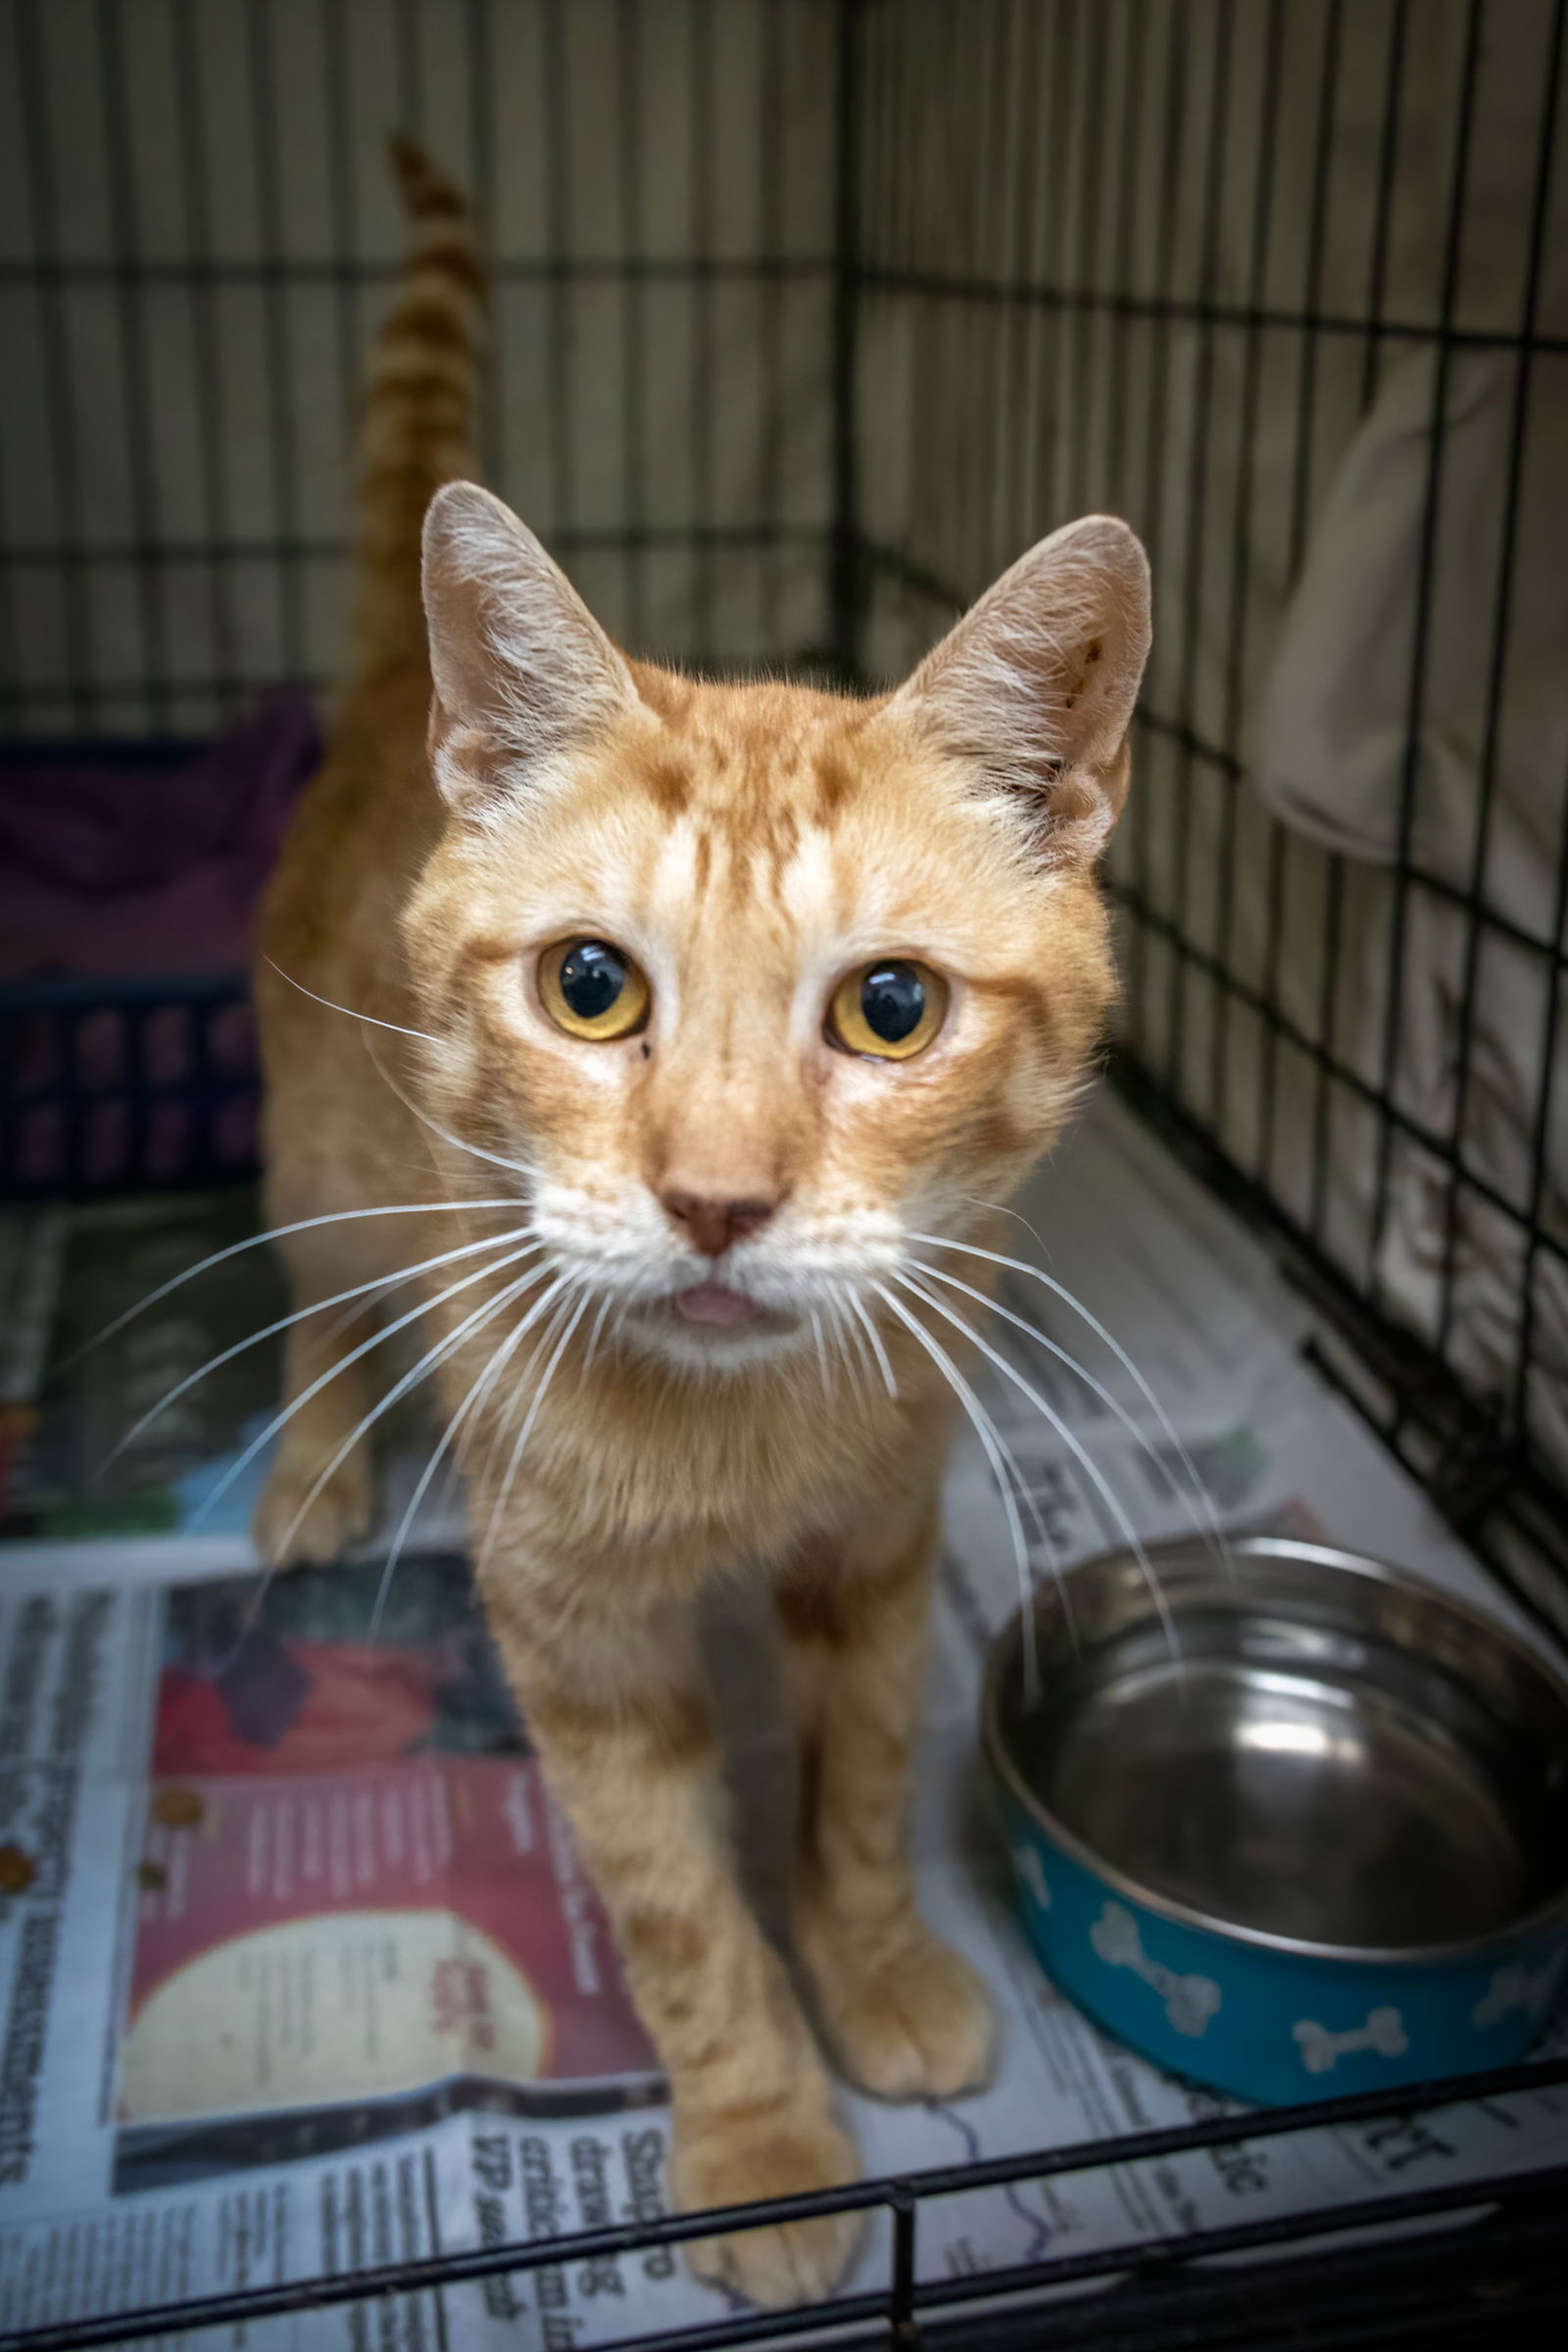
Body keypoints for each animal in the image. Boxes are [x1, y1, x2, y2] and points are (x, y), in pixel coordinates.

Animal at [251, 137, 1147, 2305]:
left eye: (890, 1010)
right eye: (591, 988)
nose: (718, 1200)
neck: (744, 1448)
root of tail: (398, 685)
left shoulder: (884, 1538)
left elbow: (854, 1788)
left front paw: (870, 1961)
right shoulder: (577, 1646)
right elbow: (669, 1904)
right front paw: (758, 2132)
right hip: (317, 1174)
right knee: (322, 1297)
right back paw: (315, 1453)